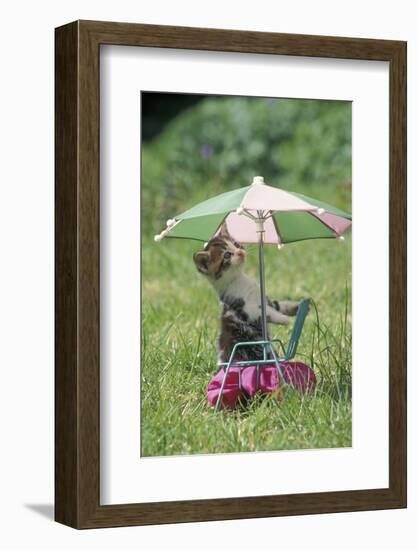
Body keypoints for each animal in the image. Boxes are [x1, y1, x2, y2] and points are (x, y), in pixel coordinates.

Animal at [193, 226, 300, 364]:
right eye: (227, 255)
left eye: (236, 244)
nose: (240, 252)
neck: (238, 279)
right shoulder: (247, 309)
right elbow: (267, 312)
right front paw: (284, 319)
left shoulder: (262, 298)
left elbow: (276, 305)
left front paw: (295, 307)